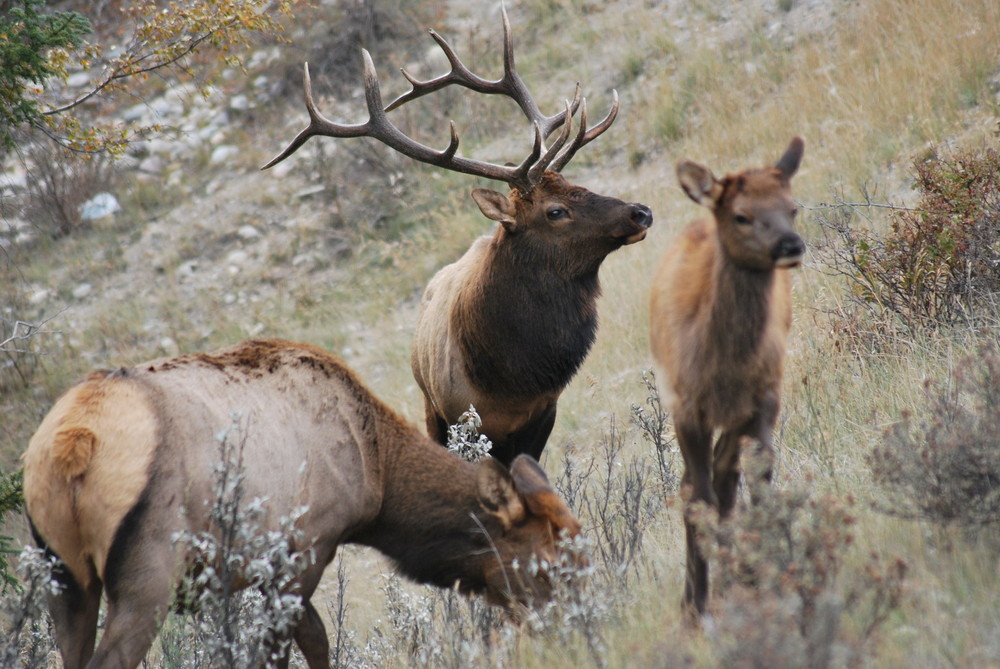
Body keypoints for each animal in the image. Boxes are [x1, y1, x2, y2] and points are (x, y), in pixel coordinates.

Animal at [19, 340, 584, 668]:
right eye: (546, 564)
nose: (578, 626)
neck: (376, 470)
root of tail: (72, 447)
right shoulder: (306, 546)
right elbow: (293, 645)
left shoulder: (278, 564)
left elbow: (313, 638)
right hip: (148, 575)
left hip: (63, 575)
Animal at [264, 6, 656, 464]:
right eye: (555, 211)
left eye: (580, 184)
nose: (641, 212)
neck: (510, 379)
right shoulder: (456, 414)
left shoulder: (544, 411)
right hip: (428, 404)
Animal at [648, 138, 804, 620]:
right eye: (741, 215)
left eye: (792, 207)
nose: (791, 244)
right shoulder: (685, 406)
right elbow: (698, 497)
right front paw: (697, 605)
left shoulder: (765, 398)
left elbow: (757, 485)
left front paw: (763, 571)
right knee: (696, 486)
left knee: (725, 480)